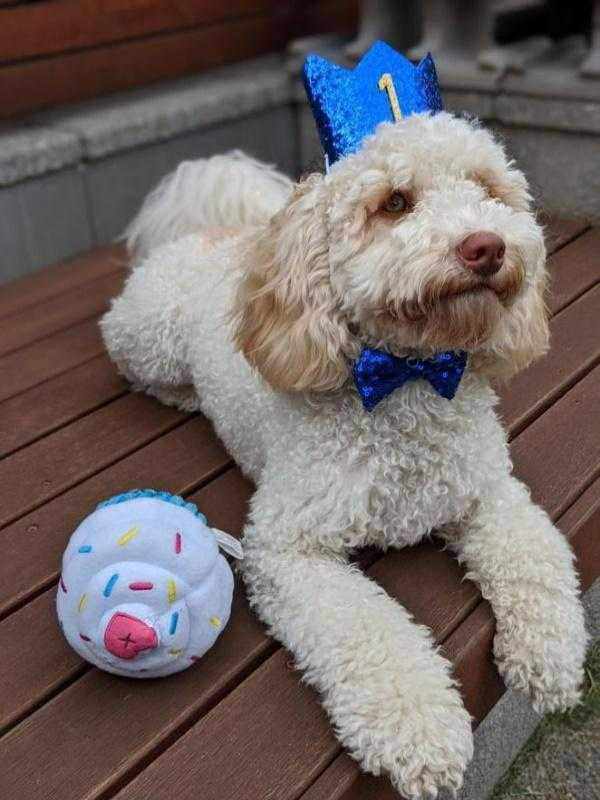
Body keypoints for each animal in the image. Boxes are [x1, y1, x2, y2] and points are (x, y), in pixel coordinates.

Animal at [102, 114, 584, 800]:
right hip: (146, 338)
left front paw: (552, 656)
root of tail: (208, 233)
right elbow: (369, 631)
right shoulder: (288, 547)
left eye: (488, 189)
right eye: (395, 203)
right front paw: (422, 732)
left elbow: (538, 557)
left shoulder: (488, 493)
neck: (408, 383)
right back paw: (183, 395)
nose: (486, 246)